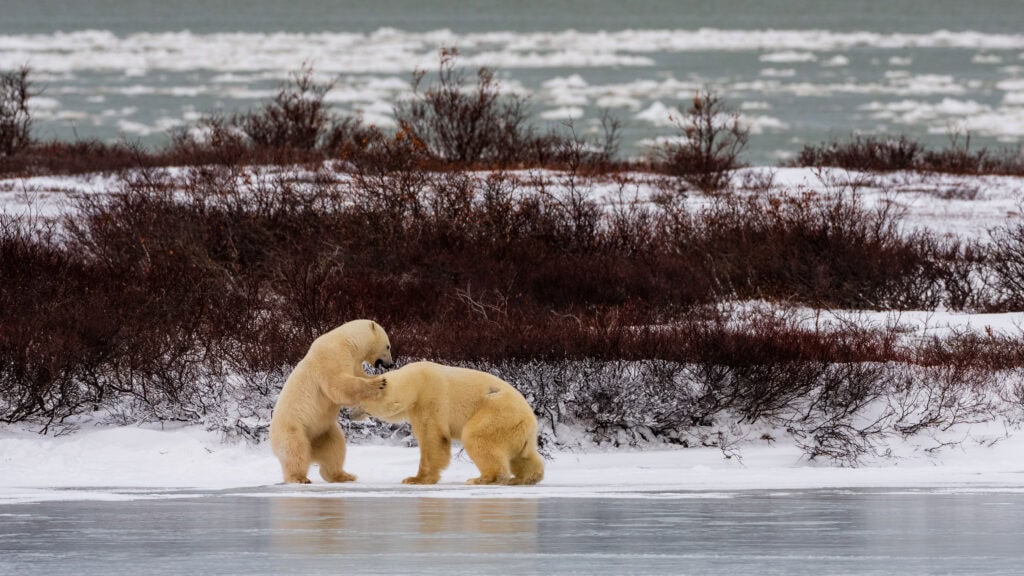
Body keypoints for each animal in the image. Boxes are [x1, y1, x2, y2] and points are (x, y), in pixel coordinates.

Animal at [269, 319, 394, 484]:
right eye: (388, 346)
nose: (391, 364)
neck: (347, 341)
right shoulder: (331, 356)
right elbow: (338, 386)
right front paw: (378, 384)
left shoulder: (354, 362)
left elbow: (359, 375)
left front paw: (382, 378)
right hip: (293, 428)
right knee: (295, 449)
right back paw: (300, 478)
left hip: (323, 431)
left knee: (335, 448)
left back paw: (343, 475)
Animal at [353, 361, 544, 485]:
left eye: (361, 402)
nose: (350, 414)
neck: (416, 382)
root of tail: (530, 419)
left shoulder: (429, 400)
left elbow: (432, 438)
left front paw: (416, 479)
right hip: (516, 431)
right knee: (524, 455)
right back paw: (526, 477)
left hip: (496, 415)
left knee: (476, 437)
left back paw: (483, 478)